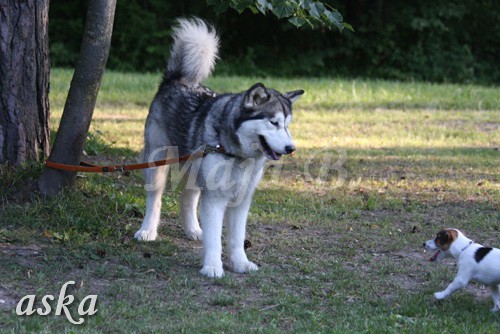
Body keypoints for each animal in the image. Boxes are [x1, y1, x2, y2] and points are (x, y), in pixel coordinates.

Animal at [134, 18, 304, 280]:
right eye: (273, 122)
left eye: (287, 125)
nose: (291, 148)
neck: (237, 154)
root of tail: (177, 80)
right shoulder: (215, 199)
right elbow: (215, 238)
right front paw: (213, 267)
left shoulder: (241, 200)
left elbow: (236, 238)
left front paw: (241, 263)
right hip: (158, 164)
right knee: (156, 198)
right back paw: (147, 231)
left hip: (195, 169)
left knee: (188, 198)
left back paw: (194, 230)